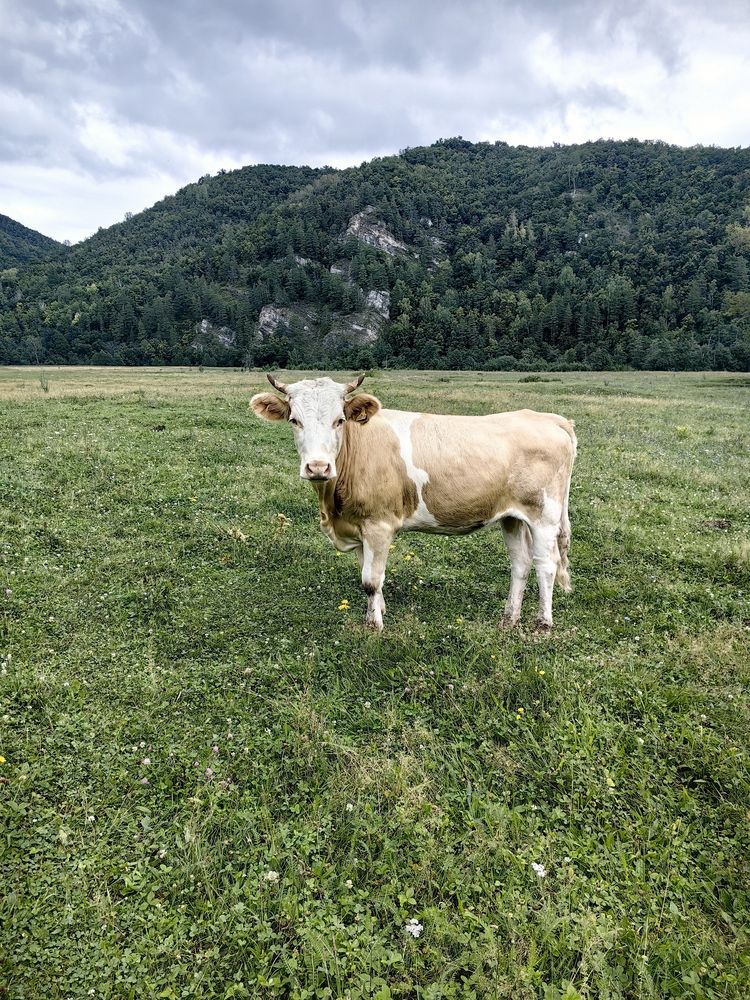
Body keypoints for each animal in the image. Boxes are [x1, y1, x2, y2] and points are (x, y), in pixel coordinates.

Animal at [250, 373, 577, 632]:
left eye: (339, 420)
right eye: (295, 421)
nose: (317, 467)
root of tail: (549, 418)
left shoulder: (379, 525)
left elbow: (370, 580)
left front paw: (374, 626)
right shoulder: (360, 526)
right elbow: (368, 574)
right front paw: (378, 610)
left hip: (545, 514)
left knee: (546, 564)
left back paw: (543, 623)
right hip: (512, 516)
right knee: (520, 563)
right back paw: (509, 620)